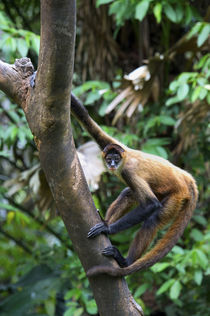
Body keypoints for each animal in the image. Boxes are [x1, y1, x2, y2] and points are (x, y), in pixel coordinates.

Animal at [30, 74, 199, 276]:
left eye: (116, 160)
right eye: (110, 158)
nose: (111, 164)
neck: (125, 159)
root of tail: (186, 178)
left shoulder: (128, 170)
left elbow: (151, 204)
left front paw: (108, 228)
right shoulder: (114, 146)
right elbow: (89, 122)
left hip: (177, 196)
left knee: (153, 218)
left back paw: (125, 260)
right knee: (128, 193)